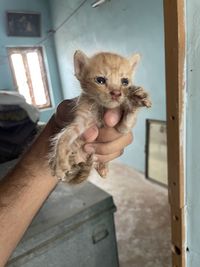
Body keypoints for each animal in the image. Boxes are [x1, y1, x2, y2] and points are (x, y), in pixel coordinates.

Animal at [48, 50, 152, 184]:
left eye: (125, 82)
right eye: (100, 80)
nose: (117, 93)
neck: (101, 108)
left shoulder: (121, 128)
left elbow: (127, 122)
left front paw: (134, 101)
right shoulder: (81, 120)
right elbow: (63, 137)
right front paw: (59, 165)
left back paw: (102, 167)